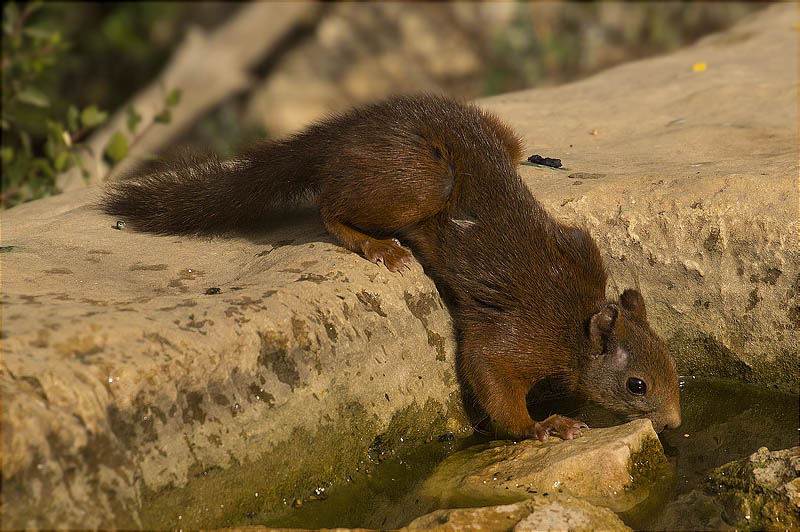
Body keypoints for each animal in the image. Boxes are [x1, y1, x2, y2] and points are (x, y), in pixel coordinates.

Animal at [101, 94, 680, 440]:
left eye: (673, 364)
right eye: (637, 386)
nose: (674, 422)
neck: (574, 324)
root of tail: (344, 133)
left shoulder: (579, 247)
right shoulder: (519, 334)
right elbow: (490, 376)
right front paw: (545, 426)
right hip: (419, 182)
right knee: (329, 202)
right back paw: (374, 244)